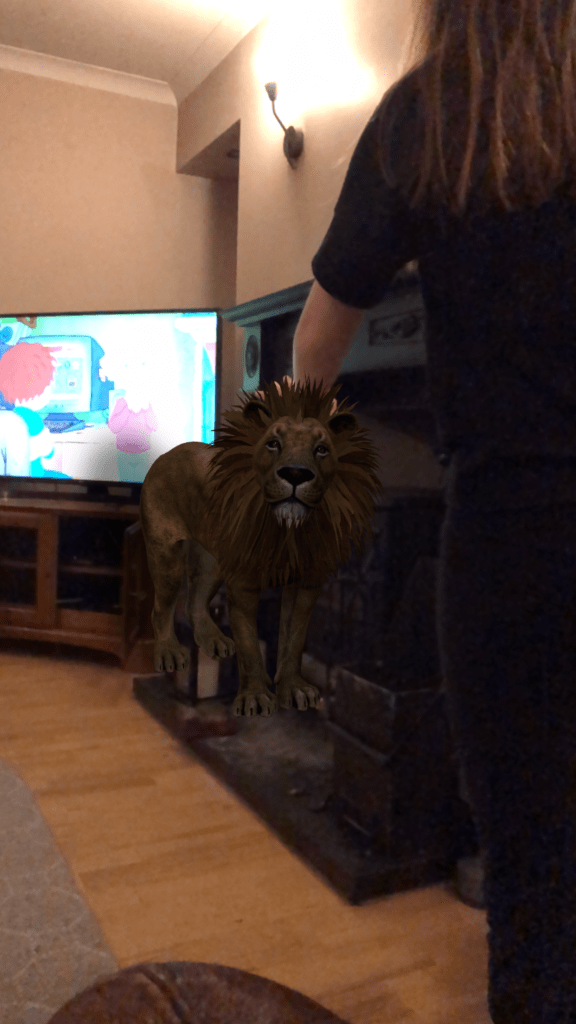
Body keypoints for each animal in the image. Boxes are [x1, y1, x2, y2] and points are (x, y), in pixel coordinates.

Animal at [139, 377, 383, 717]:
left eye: (321, 449)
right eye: (273, 444)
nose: (295, 474)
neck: (288, 532)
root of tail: (168, 453)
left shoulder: (306, 585)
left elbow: (294, 640)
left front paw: (294, 690)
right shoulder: (243, 584)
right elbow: (250, 645)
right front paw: (254, 697)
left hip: (214, 560)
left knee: (194, 603)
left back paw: (214, 642)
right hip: (167, 556)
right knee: (162, 608)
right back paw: (169, 653)